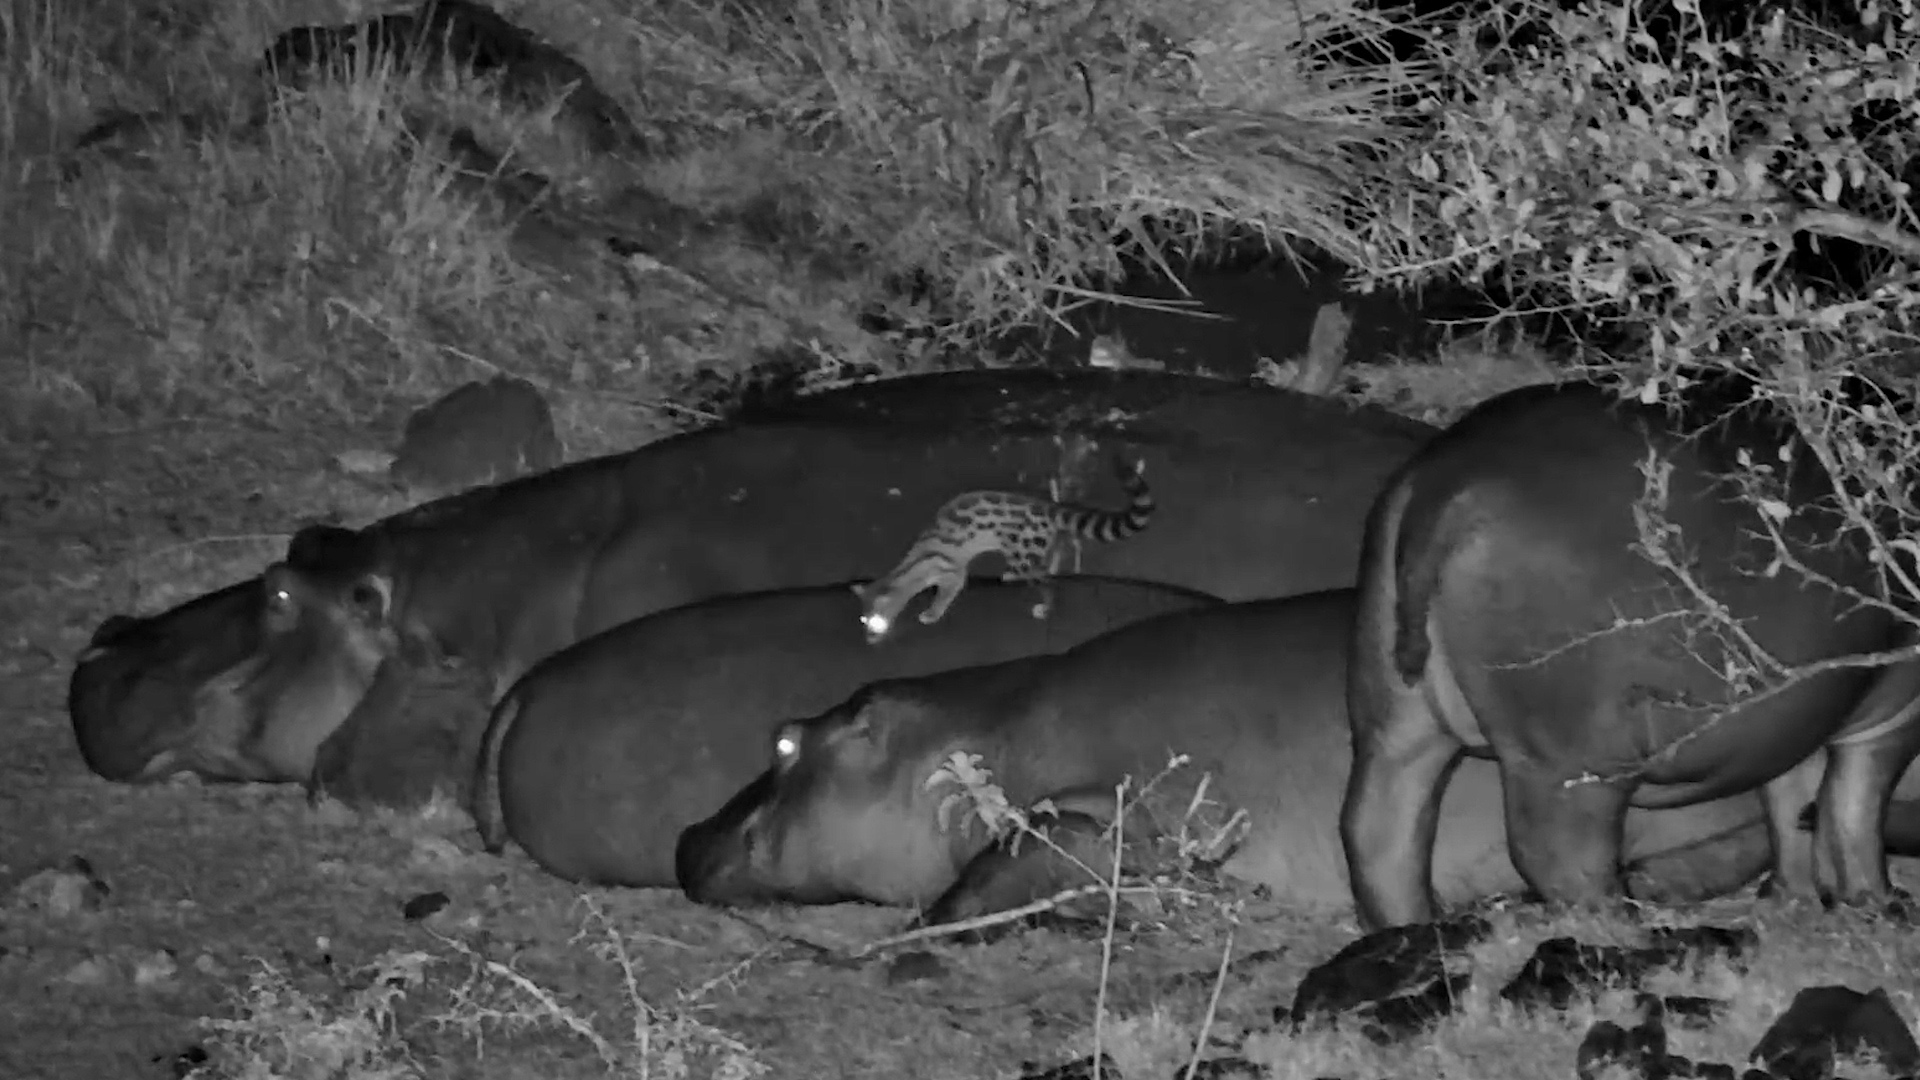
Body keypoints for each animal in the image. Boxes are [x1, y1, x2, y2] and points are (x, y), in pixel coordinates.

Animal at [673, 589, 1910, 924]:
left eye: (785, 735)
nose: (685, 834)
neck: (979, 730)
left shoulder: (1092, 804)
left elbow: (997, 865)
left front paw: (930, 922)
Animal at [1341, 377, 1920, 931]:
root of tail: (1444, 487)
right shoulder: (1889, 711)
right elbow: (1853, 806)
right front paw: (1882, 906)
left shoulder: (1797, 714)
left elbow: (1794, 803)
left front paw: (1794, 902)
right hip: (1568, 758)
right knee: (1561, 857)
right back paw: (1632, 931)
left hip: (1394, 716)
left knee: (1380, 833)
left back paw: (1413, 931)